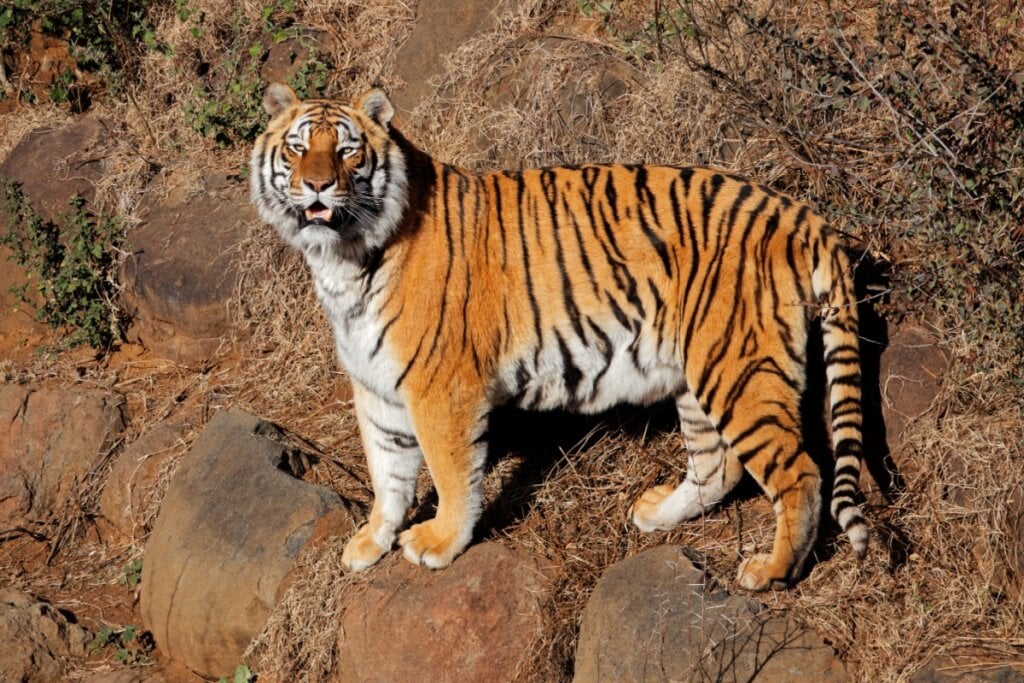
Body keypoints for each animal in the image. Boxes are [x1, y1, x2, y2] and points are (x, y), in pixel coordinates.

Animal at [251, 82, 868, 589]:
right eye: (297, 148)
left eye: (347, 151)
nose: (317, 186)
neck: (341, 262)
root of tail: (800, 214)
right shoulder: (376, 385)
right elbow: (388, 471)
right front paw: (371, 541)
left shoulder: (440, 386)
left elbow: (450, 473)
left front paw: (439, 544)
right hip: (700, 372)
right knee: (720, 464)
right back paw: (656, 513)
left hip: (737, 368)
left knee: (801, 472)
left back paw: (772, 572)